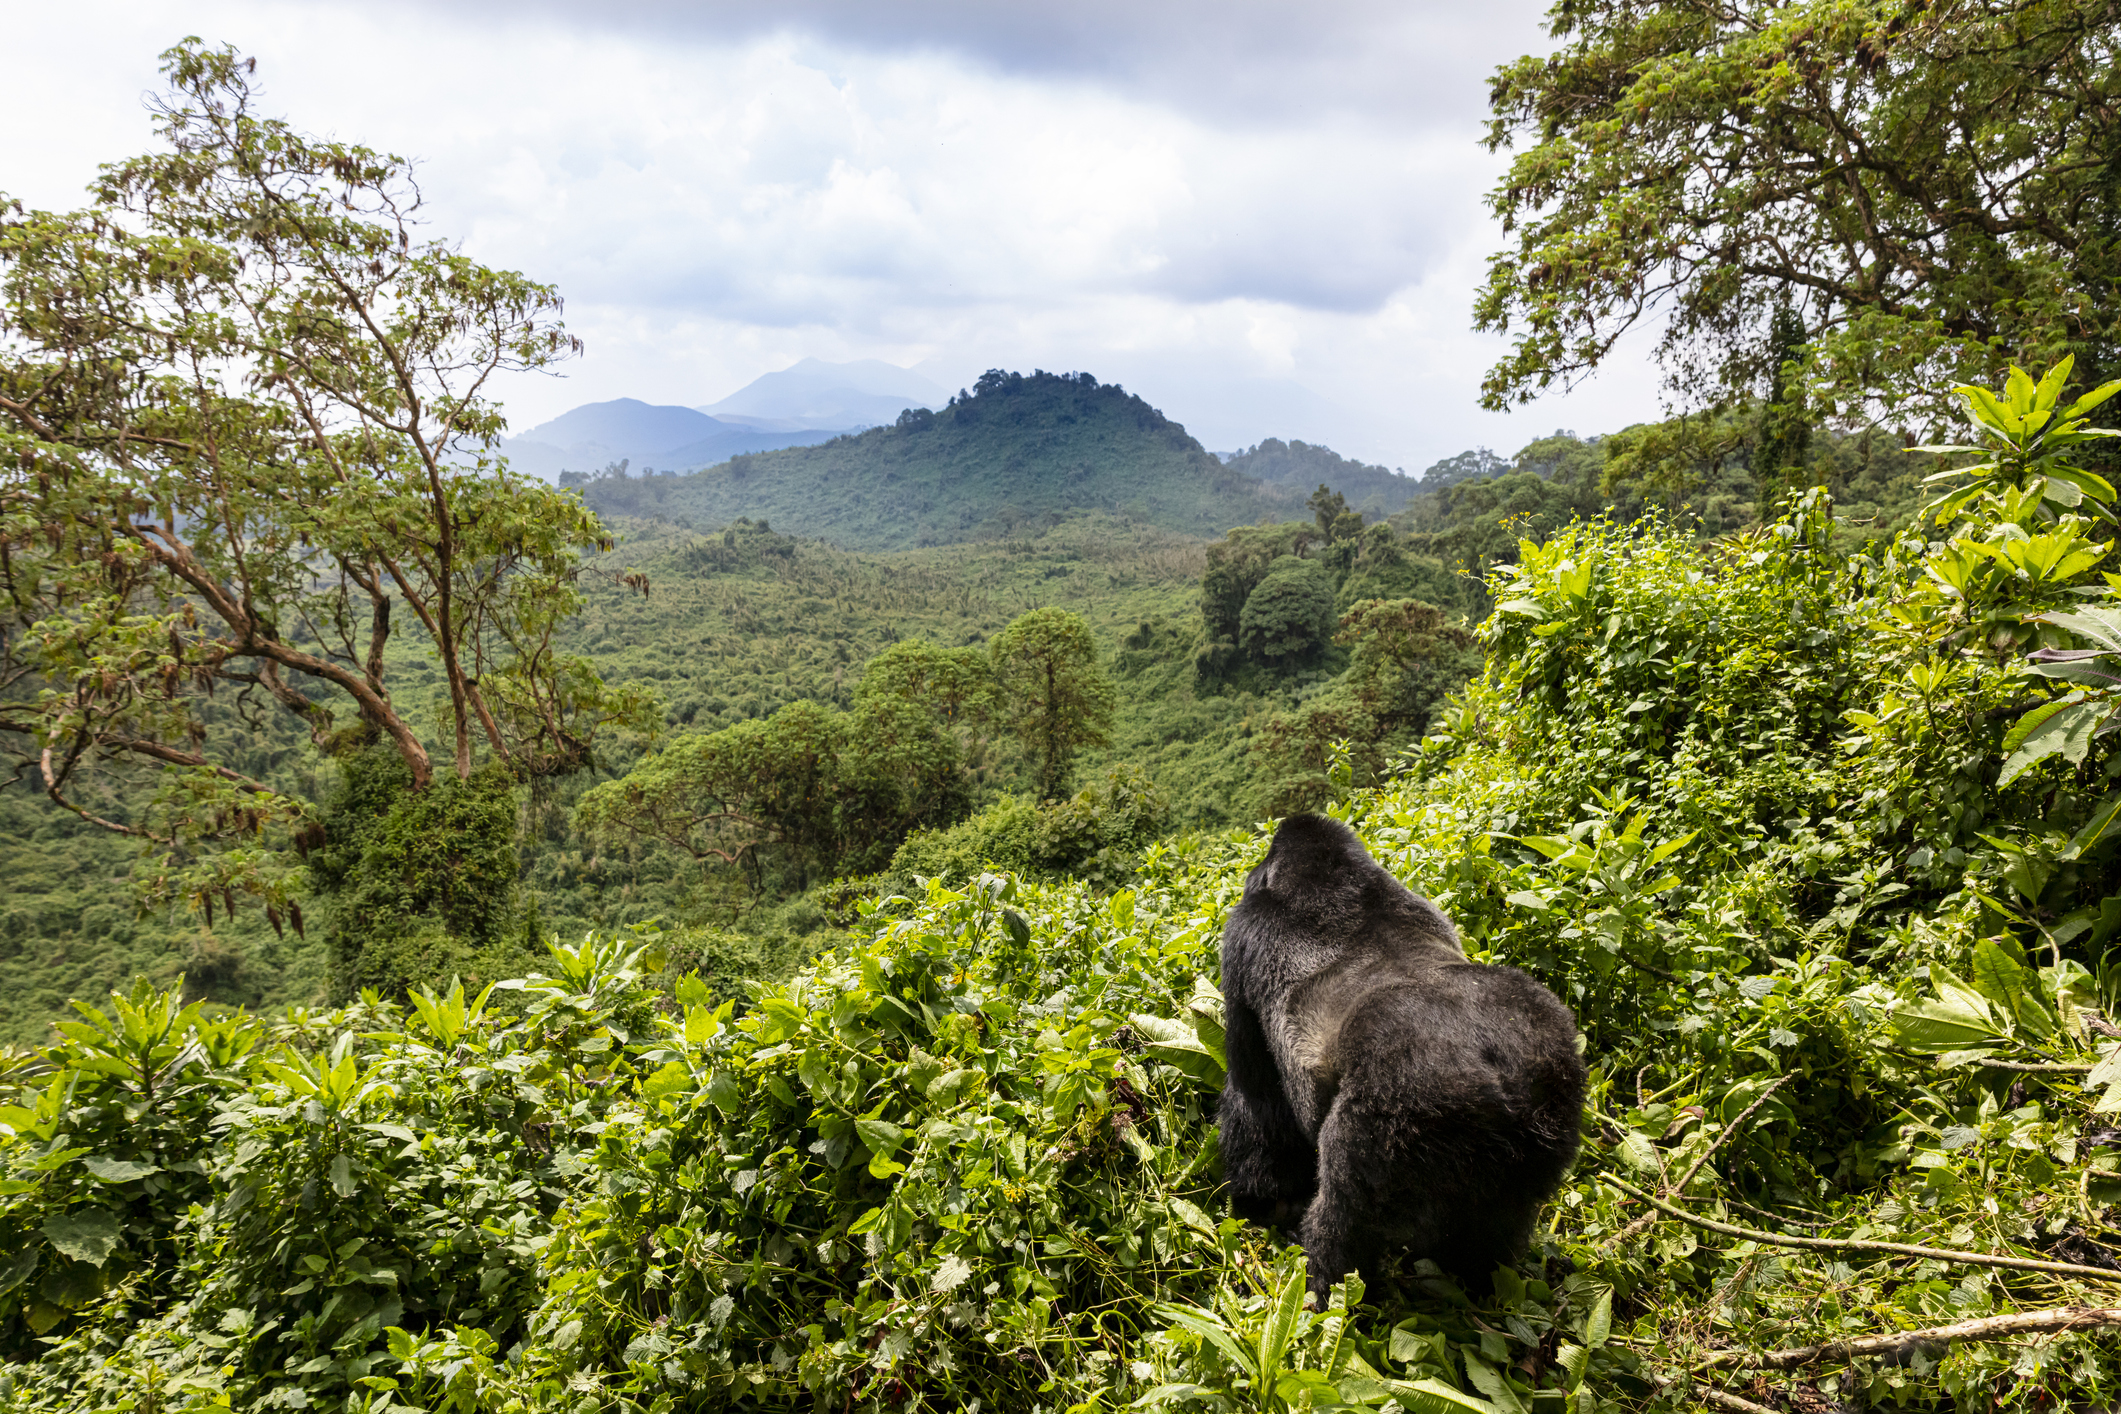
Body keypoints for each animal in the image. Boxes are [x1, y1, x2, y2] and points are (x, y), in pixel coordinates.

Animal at [1216, 812, 1586, 1301]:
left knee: (1344, 1222)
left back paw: (1326, 1289)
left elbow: (1254, 1096)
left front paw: (1265, 1203)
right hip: (1553, 1091)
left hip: (1398, 1110)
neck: (1330, 878)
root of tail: (1501, 1077)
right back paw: (1479, 1278)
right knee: (1497, 1225)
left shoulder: (1242, 938)